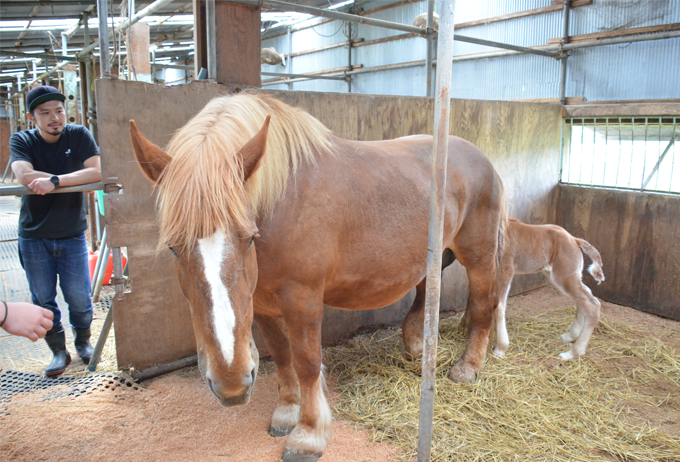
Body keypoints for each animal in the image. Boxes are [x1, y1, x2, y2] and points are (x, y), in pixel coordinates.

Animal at [130, 92, 504, 460]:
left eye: (249, 237)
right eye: (173, 248)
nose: (232, 386)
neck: (282, 199)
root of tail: (481, 158)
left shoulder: (302, 298)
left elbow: (307, 362)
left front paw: (308, 434)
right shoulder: (261, 303)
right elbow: (282, 356)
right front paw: (286, 411)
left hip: (478, 256)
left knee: (483, 304)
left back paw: (469, 366)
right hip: (432, 256)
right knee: (428, 293)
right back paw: (417, 347)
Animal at [492, 218, 604, 360]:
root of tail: (575, 239)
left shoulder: (505, 270)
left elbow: (499, 306)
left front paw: (500, 349)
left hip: (563, 277)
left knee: (591, 305)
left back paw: (572, 353)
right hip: (559, 276)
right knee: (586, 297)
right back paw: (570, 336)